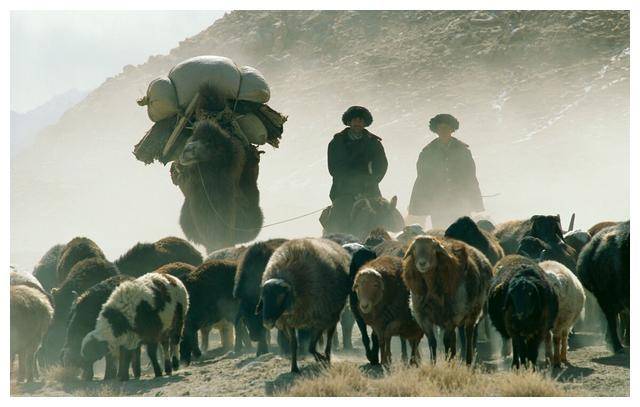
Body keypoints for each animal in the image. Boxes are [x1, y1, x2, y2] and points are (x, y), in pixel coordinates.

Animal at [258, 237, 352, 374]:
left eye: (280, 296)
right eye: (263, 297)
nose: (267, 322)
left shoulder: (319, 319)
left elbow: (311, 346)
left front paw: (322, 358)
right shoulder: (289, 323)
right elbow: (294, 344)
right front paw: (294, 368)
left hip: (332, 314)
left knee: (329, 336)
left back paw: (327, 357)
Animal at [402, 234, 492, 364]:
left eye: (433, 248)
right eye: (414, 249)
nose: (422, 263)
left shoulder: (451, 317)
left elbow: (446, 342)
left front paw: (447, 362)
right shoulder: (423, 318)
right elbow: (432, 342)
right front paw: (433, 364)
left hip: (473, 311)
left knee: (468, 334)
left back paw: (468, 361)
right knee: (454, 339)